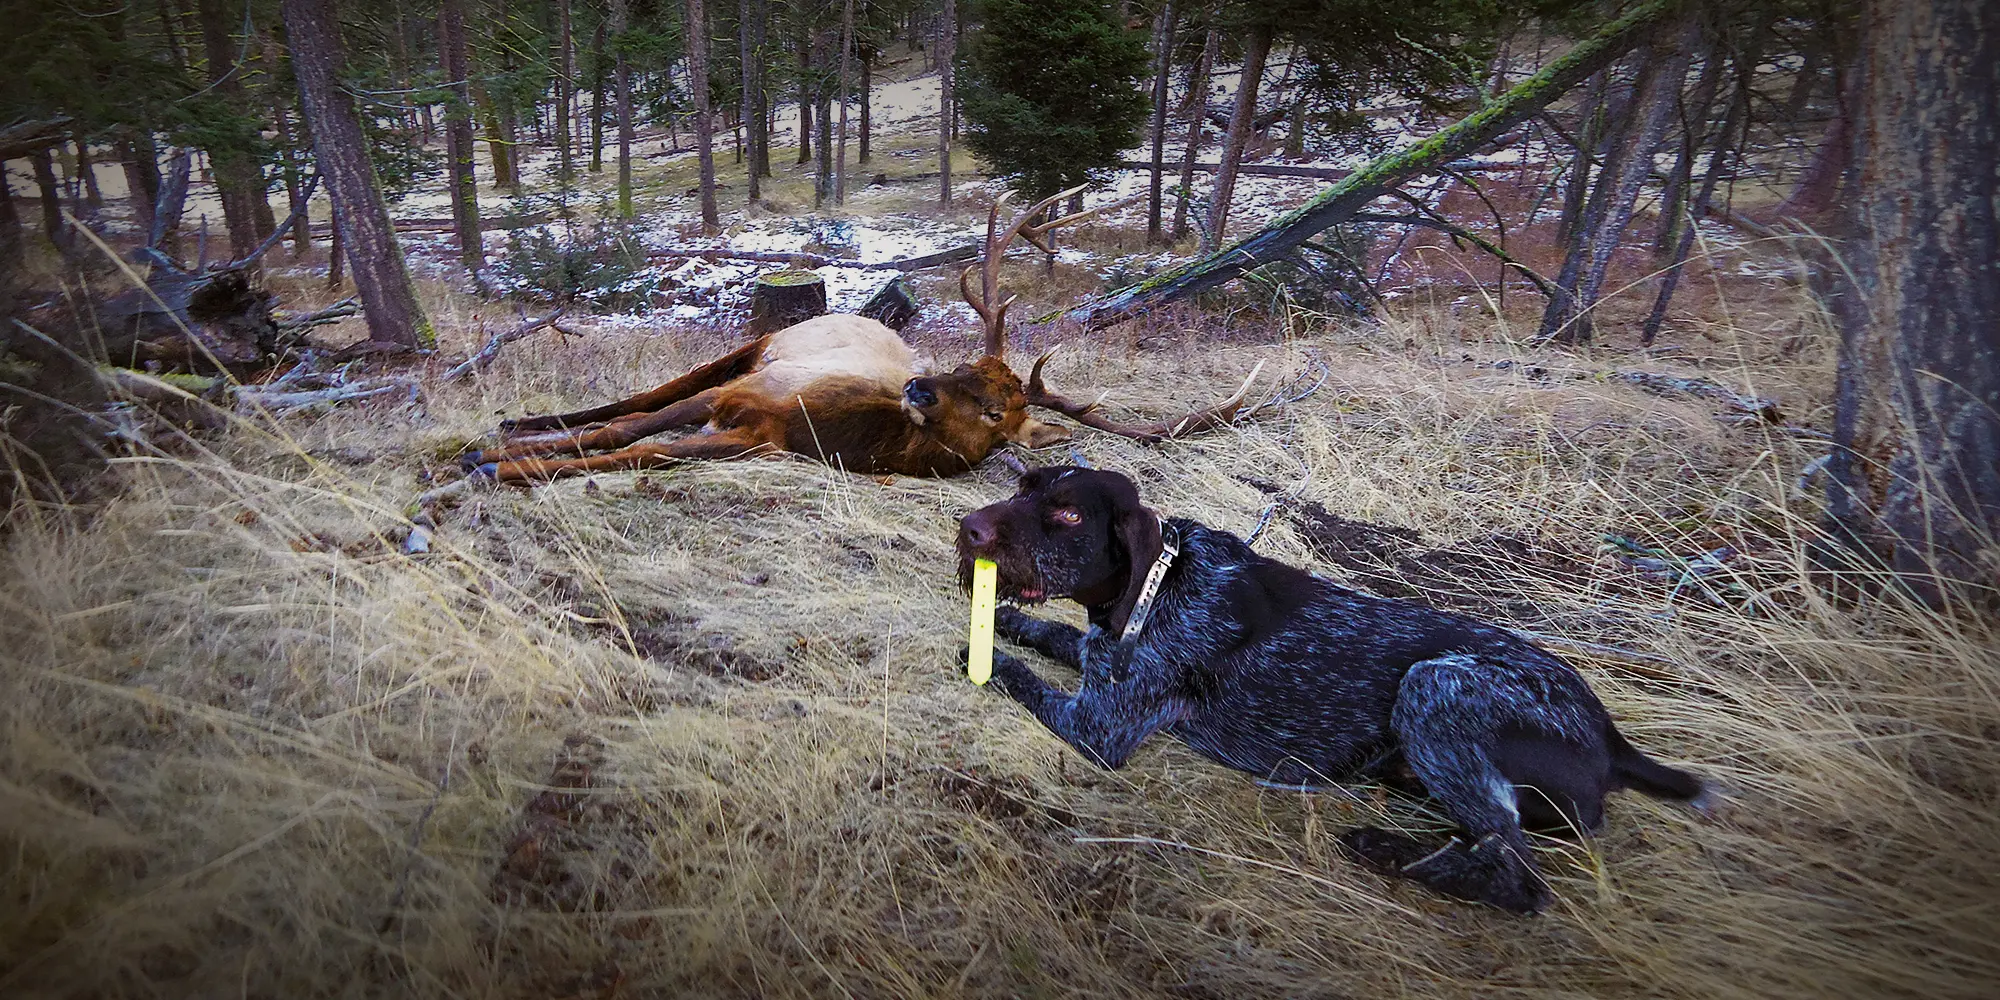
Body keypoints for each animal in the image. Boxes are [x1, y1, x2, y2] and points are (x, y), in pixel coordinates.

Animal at [460, 189, 1256, 486]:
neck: (826, 428)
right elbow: (621, 430)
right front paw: (495, 455)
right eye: (963, 366)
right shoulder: (746, 390)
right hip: (750, 349)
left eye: (998, 411)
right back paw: (519, 422)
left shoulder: (755, 437)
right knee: (637, 397)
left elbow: (641, 451)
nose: (918, 386)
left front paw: (505, 467)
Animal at [960, 468, 1712, 916]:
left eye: (1067, 515)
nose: (969, 528)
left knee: (1519, 878)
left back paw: (1389, 851)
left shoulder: (1101, 728)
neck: (1161, 584)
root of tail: (1614, 744)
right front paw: (1009, 621)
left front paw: (983, 651)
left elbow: (1021, 674)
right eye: (1023, 487)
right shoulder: (1099, 664)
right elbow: (1056, 637)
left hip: (1436, 685)